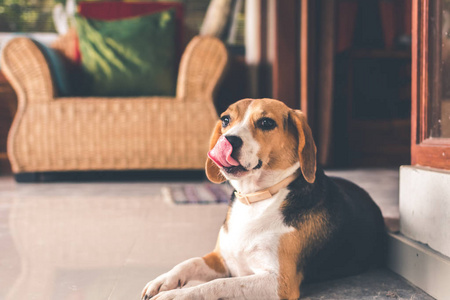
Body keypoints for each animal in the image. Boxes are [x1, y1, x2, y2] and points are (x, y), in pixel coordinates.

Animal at [142, 99, 386, 300]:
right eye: (226, 119)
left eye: (266, 122)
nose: (228, 140)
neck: (256, 198)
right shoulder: (221, 259)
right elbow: (189, 262)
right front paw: (163, 281)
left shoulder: (279, 283)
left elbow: (218, 284)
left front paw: (175, 295)